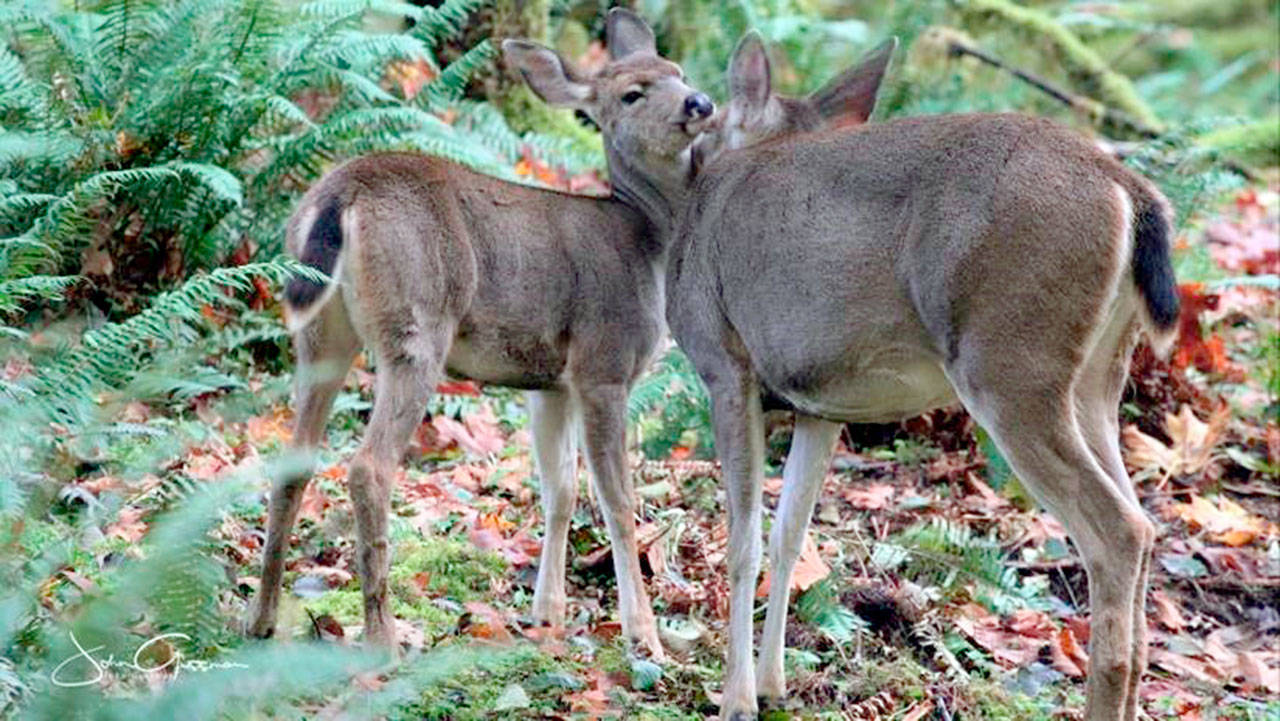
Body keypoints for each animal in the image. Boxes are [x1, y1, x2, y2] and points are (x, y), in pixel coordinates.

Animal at [244, 7, 716, 660]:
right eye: (632, 92)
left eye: (678, 71)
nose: (700, 102)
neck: (647, 240)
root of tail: (339, 195)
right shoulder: (604, 360)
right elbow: (618, 500)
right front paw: (643, 635)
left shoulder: (551, 382)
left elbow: (560, 488)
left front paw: (547, 614)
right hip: (417, 322)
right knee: (369, 468)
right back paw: (383, 637)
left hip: (320, 332)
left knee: (293, 461)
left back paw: (261, 619)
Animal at [660, 29, 1177, 721]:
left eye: (711, 126)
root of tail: (1128, 191)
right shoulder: (819, 405)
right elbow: (789, 533)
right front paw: (772, 686)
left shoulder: (725, 364)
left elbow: (741, 538)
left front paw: (736, 699)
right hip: (1096, 377)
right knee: (1143, 525)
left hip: (1010, 362)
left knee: (1119, 530)